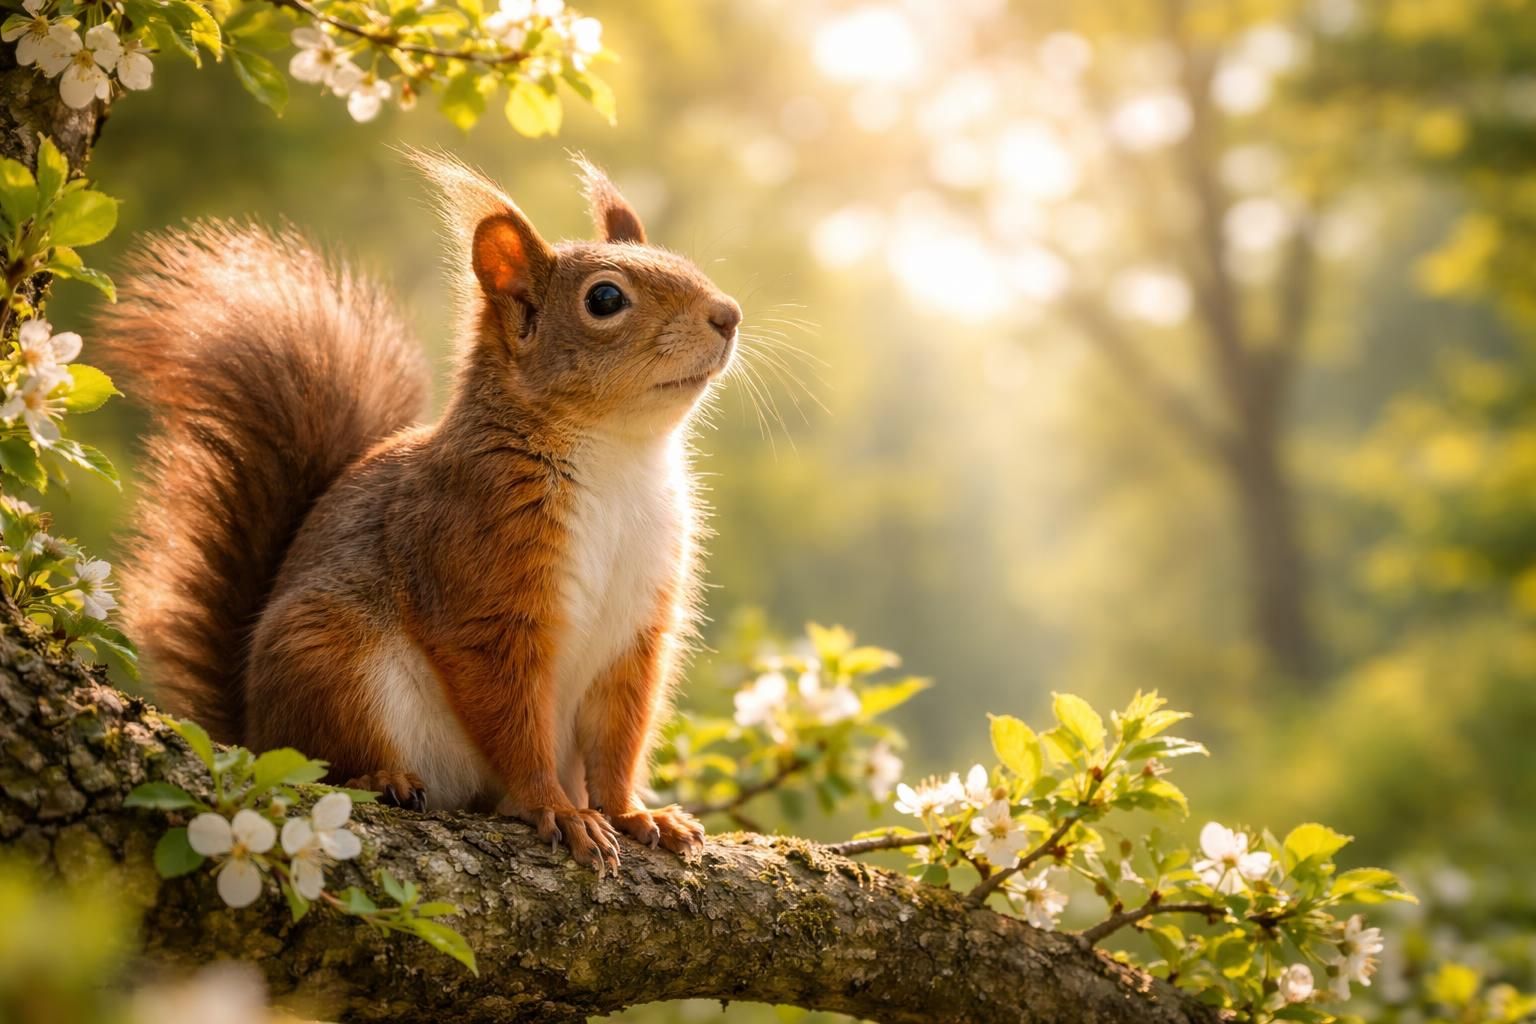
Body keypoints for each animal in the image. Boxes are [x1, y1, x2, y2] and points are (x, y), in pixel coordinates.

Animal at [100, 152, 742, 868]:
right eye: (605, 299)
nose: (729, 314)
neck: (618, 456)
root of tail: (250, 732)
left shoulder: (638, 625)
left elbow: (619, 738)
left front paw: (633, 812)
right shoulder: (478, 570)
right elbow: (512, 717)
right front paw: (556, 808)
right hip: (327, 658)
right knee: (324, 757)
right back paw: (382, 776)